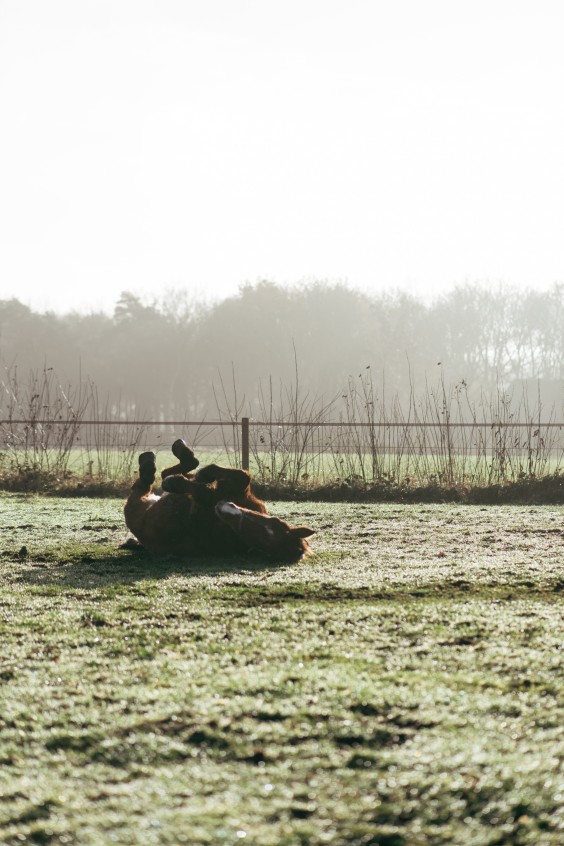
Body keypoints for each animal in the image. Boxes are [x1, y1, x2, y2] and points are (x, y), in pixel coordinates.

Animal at [124, 439, 314, 561]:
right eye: (274, 521)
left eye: (255, 536)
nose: (227, 506)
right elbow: (242, 476)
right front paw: (202, 476)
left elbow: (204, 490)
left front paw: (178, 482)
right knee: (178, 468)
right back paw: (179, 453)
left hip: (137, 506)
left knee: (145, 483)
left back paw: (151, 467)